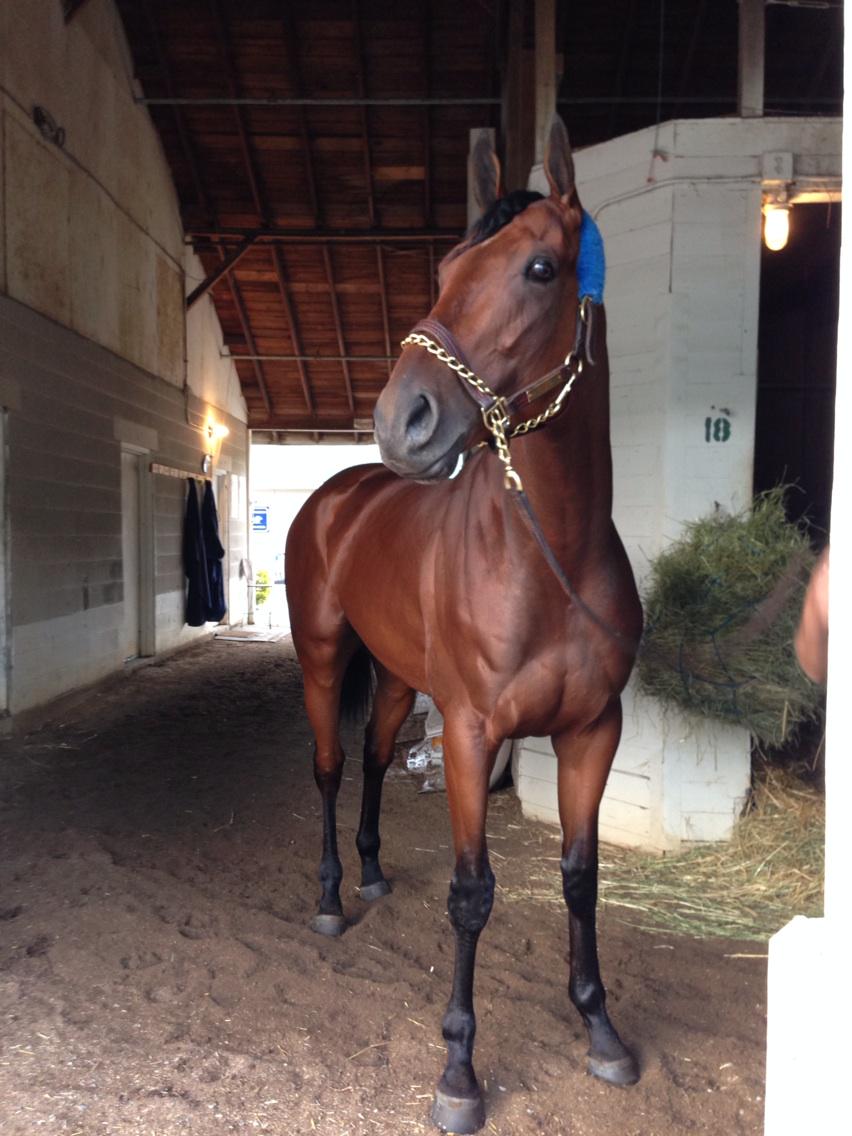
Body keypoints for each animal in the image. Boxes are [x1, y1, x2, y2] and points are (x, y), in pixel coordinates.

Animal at [287, 119, 640, 1131]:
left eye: (540, 268)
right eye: (446, 265)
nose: (401, 419)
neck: (549, 558)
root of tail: (337, 494)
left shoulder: (593, 732)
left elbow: (579, 874)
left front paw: (600, 1030)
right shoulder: (473, 733)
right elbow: (472, 894)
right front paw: (458, 1070)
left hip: (397, 678)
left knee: (371, 761)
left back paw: (371, 871)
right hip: (323, 659)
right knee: (330, 768)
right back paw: (333, 897)